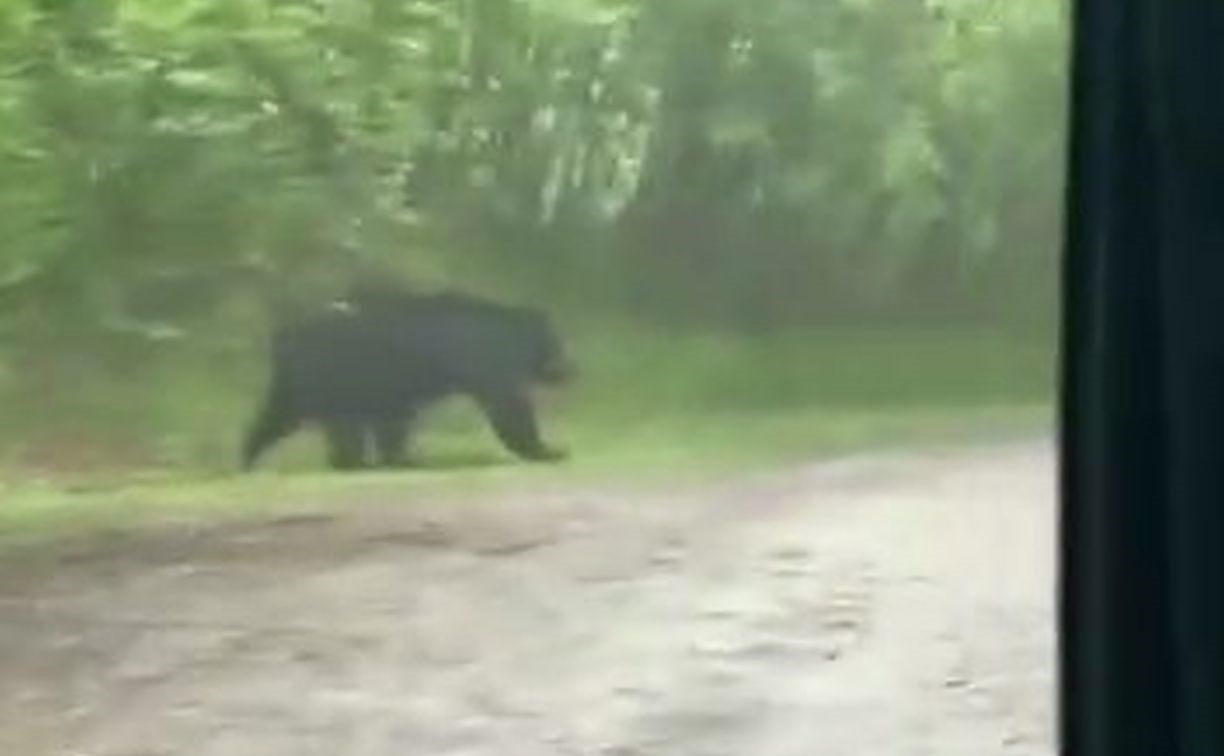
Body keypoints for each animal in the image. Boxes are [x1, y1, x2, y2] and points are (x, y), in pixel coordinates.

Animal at [244, 288, 577, 469]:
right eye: (557, 343)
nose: (570, 371)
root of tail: (283, 338)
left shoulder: (392, 392)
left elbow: (394, 422)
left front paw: (399, 457)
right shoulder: (485, 362)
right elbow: (508, 405)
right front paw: (548, 451)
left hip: (306, 386)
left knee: (276, 417)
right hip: (336, 377)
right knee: (337, 425)